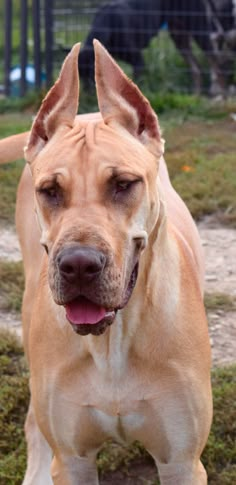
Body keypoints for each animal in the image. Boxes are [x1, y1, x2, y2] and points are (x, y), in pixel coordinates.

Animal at [0, 40, 212, 480]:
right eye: (50, 190)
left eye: (123, 184)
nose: (79, 265)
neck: (112, 341)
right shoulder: (73, 461)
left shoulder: (182, 462)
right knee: (33, 426)